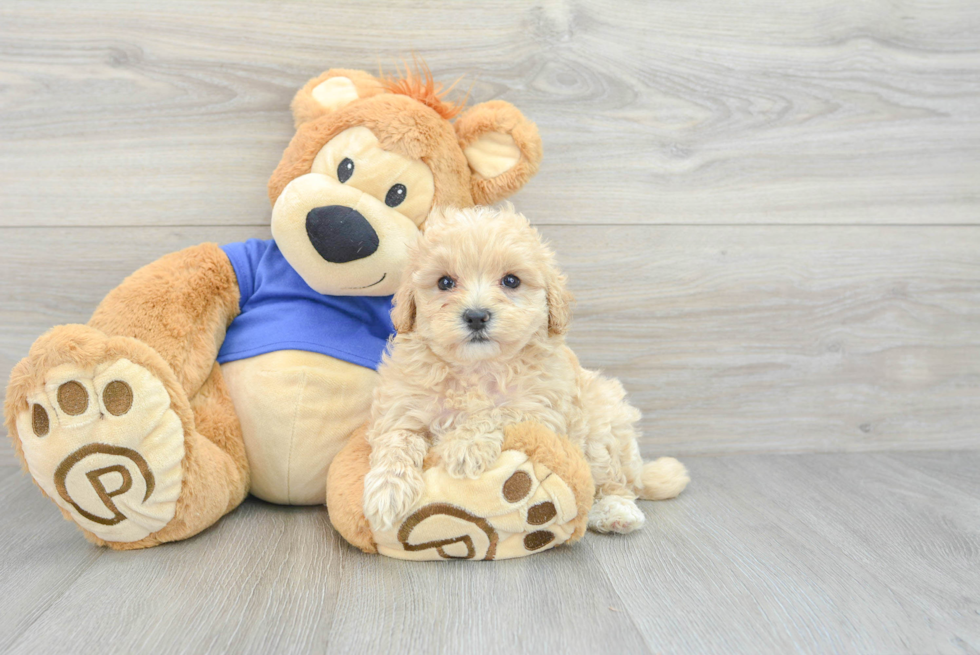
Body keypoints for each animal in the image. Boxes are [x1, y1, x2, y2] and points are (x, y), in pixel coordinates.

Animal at [360, 205, 688, 532]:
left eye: (511, 281)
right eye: (444, 283)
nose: (476, 316)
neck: (477, 368)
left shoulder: (542, 410)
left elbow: (498, 411)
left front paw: (465, 445)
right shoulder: (403, 409)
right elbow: (397, 439)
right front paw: (387, 491)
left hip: (602, 426)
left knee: (615, 480)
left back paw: (616, 511)